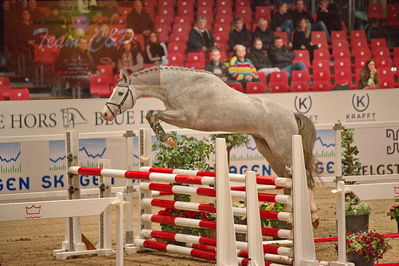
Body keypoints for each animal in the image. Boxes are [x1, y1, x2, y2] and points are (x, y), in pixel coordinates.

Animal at [101, 65, 320, 225]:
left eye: (119, 93)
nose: (105, 114)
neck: (178, 84)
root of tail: (291, 114)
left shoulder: (184, 117)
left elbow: (153, 113)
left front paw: (167, 139)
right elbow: (150, 115)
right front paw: (167, 138)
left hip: (284, 148)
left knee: (305, 178)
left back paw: (313, 217)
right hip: (267, 148)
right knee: (288, 178)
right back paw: (290, 216)